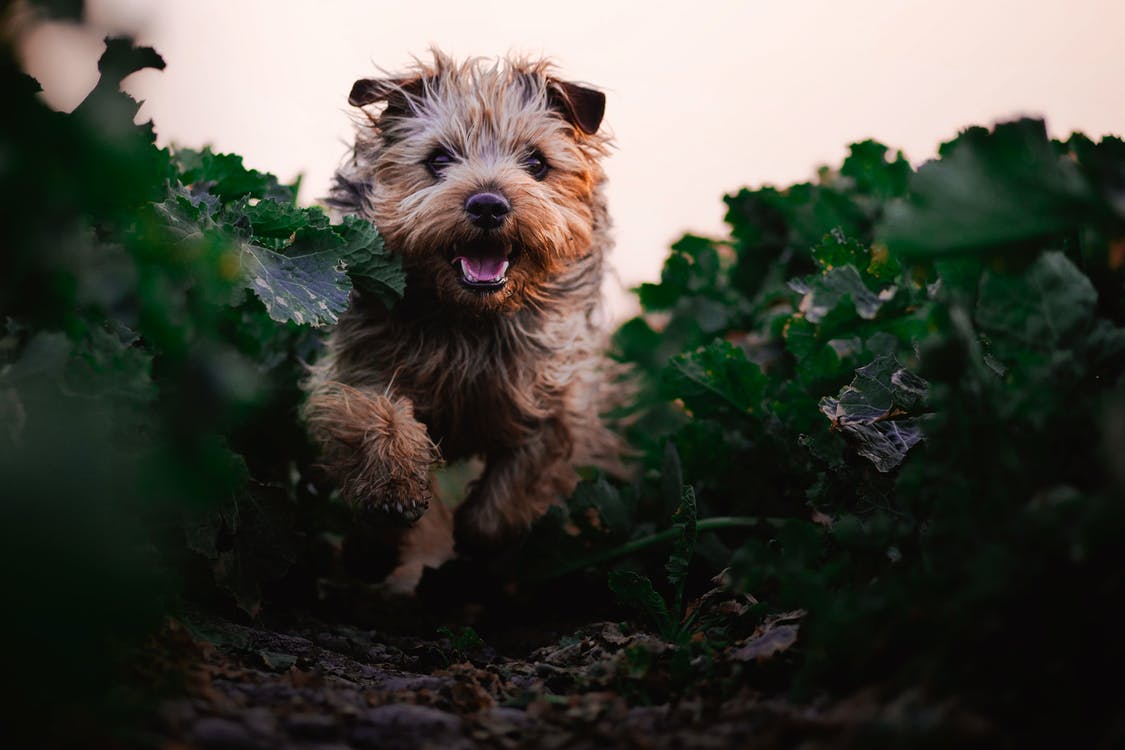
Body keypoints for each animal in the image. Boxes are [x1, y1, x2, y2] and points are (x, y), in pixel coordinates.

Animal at [299, 51, 630, 575]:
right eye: (438, 159)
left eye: (537, 162)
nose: (489, 205)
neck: (471, 319)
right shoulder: (357, 367)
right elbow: (371, 413)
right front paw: (392, 492)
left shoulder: (559, 391)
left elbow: (528, 468)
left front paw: (481, 536)